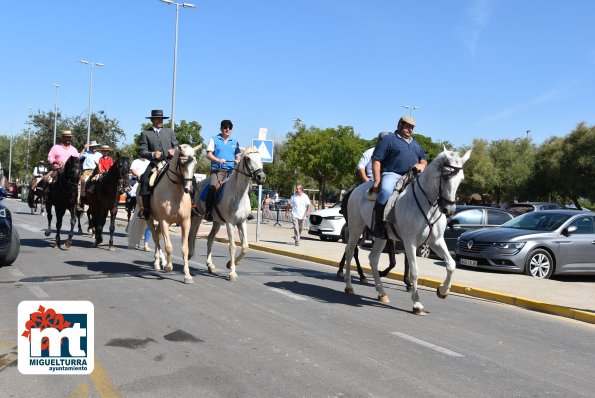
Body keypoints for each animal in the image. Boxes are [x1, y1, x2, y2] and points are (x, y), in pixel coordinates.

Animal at [126, 145, 199, 284]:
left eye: (195, 163)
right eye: (183, 163)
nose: (188, 189)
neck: (176, 193)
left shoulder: (185, 222)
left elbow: (185, 248)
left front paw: (187, 275)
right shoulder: (165, 221)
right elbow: (169, 247)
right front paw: (169, 267)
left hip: (159, 221)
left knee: (158, 236)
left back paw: (160, 261)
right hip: (150, 218)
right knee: (156, 237)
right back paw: (160, 263)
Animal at [190, 147, 266, 282]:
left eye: (261, 158)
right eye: (248, 158)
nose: (261, 177)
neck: (238, 194)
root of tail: (199, 184)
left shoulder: (242, 223)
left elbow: (245, 247)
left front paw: (231, 263)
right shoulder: (230, 223)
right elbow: (232, 246)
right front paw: (232, 273)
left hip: (217, 222)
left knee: (210, 239)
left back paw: (210, 265)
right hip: (197, 217)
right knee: (192, 235)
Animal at [342, 148, 472, 316]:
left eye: (461, 180)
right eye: (445, 176)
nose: (449, 209)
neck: (427, 205)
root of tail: (356, 190)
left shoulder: (436, 241)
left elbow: (451, 264)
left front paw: (443, 291)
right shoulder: (410, 241)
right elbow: (414, 271)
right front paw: (417, 304)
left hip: (381, 237)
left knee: (373, 259)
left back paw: (382, 293)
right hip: (355, 228)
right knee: (350, 252)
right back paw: (349, 286)